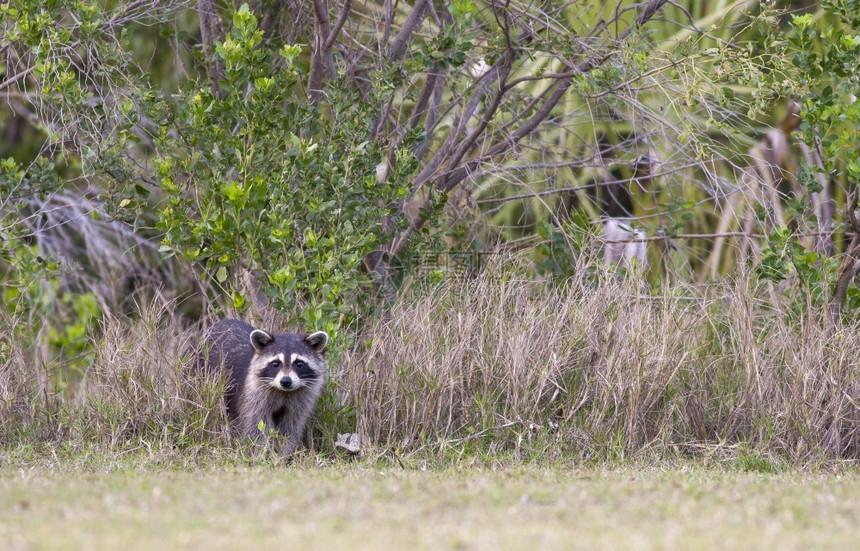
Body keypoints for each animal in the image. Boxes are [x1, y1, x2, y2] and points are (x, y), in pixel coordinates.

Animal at [198, 320, 330, 458]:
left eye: (299, 364)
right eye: (275, 364)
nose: (286, 381)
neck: (284, 392)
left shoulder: (300, 402)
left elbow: (289, 428)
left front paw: (282, 455)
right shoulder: (254, 397)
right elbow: (256, 427)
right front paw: (258, 454)